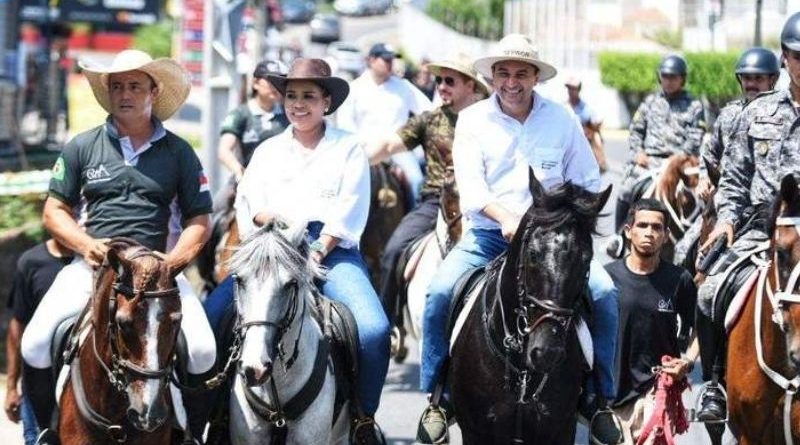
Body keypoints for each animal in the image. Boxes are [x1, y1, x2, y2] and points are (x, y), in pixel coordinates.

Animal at [446, 171, 608, 444]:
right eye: (532, 254)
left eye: (586, 259)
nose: (547, 352)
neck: (522, 372)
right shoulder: (476, 431)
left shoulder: (560, 430)